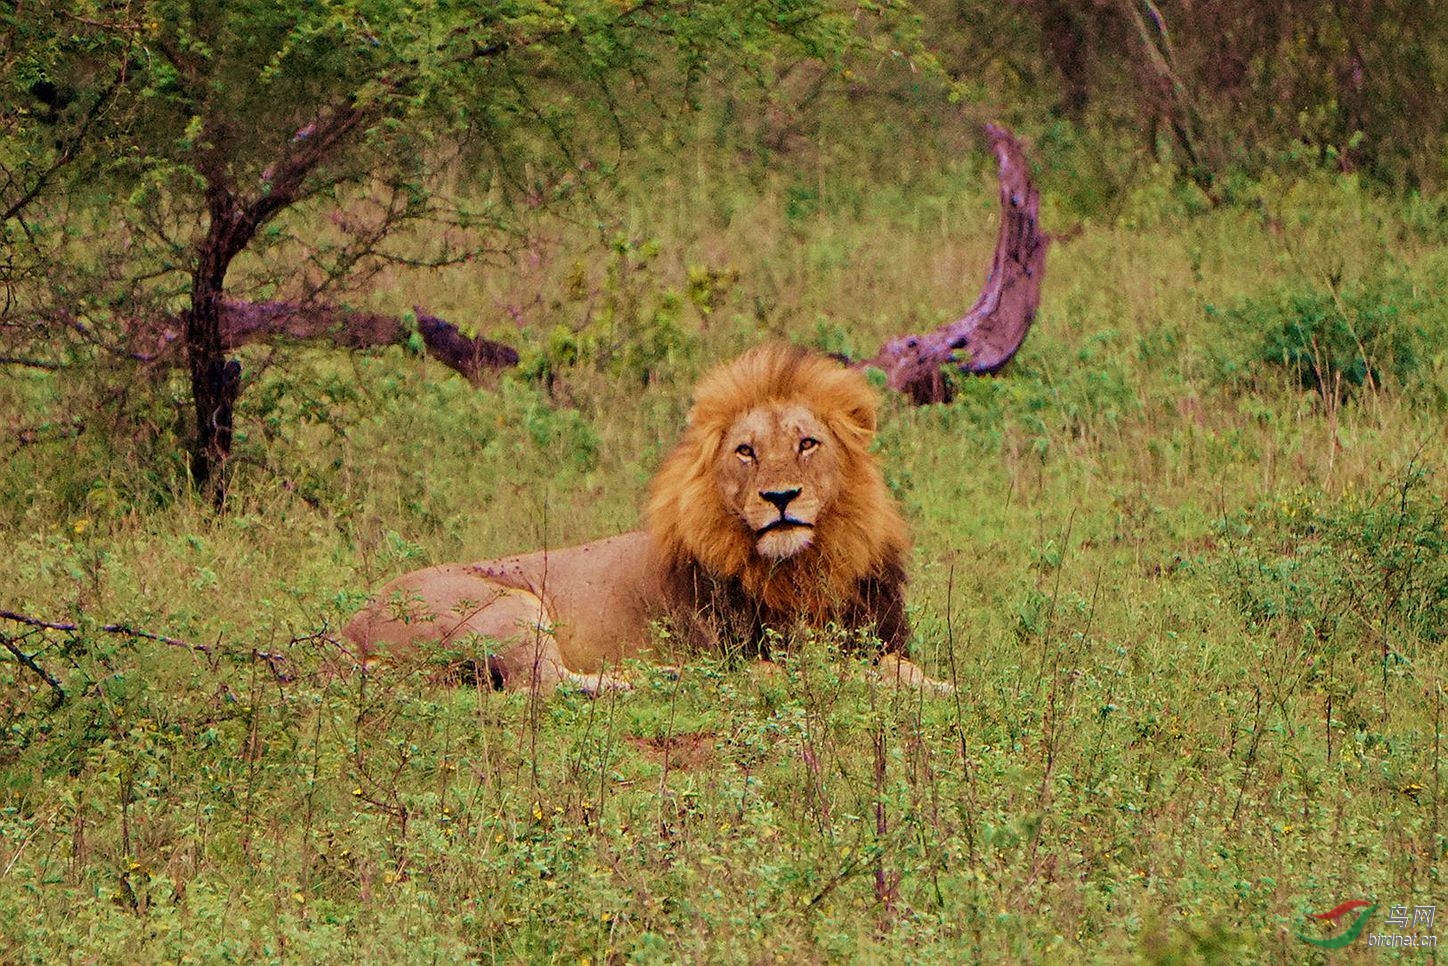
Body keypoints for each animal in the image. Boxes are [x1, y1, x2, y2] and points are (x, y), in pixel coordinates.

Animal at [338, 347, 949, 695]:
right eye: (746, 451)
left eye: (807, 444)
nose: (781, 497)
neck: (801, 569)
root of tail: (347, 627)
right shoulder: (738, 656)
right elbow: (817, 670)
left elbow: (899, 665)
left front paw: (932, 683)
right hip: (508, 608)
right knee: (538, 685)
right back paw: (654, 679)